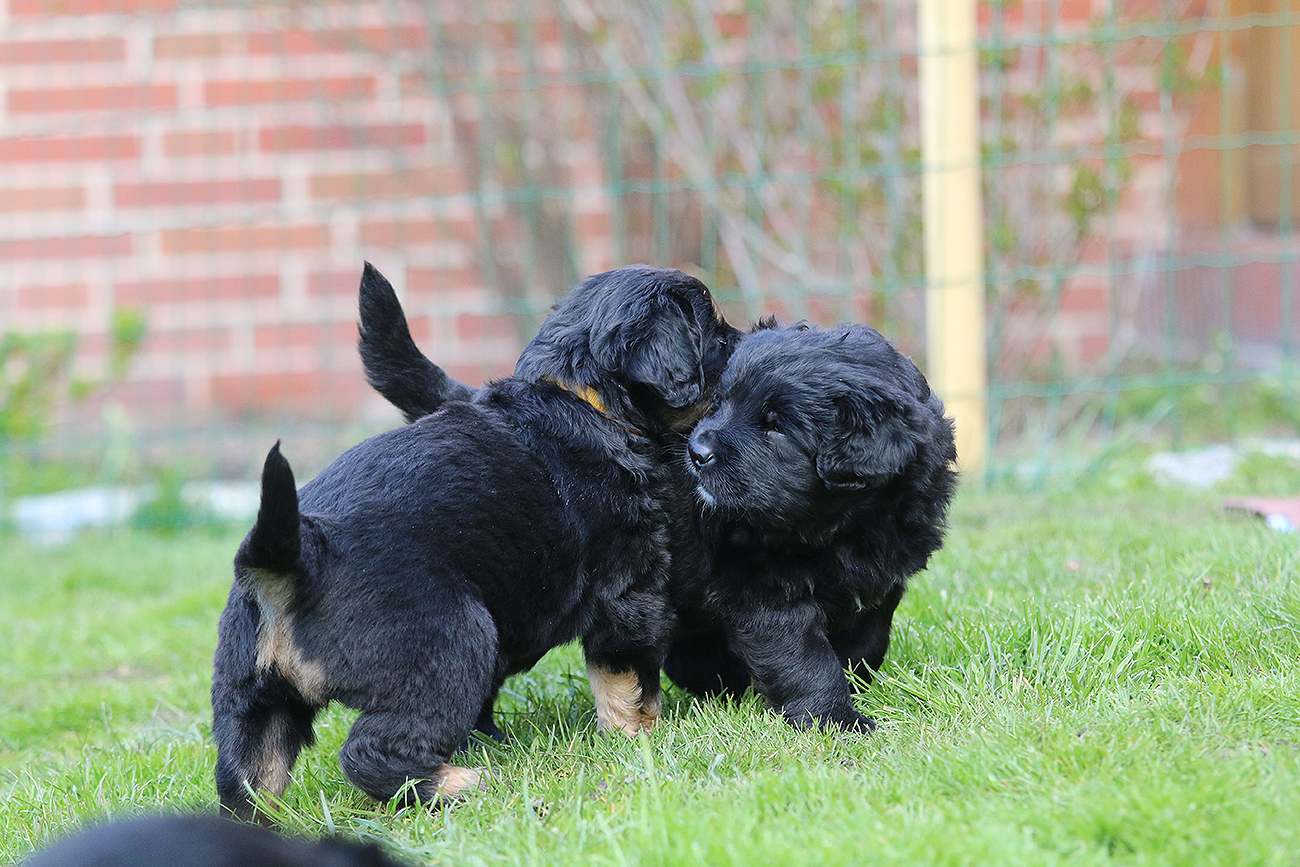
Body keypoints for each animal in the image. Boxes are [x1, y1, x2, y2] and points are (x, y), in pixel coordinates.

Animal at [211, 263, 733, 821]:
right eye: (716, 337)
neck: (581, 400)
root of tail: (299, 555)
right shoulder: (629, 590)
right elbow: (627, 678)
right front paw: (642, 738)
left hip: (248, 694)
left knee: (248, 777)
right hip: (450, 641)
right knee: (371, 752)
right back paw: (467, 784)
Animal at [664, 322, 957, 731]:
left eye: (776, 429)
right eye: (721, 403)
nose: (696, 451)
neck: (844, 528)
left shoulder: (883, 581)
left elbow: (866, 643)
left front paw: (856, 688)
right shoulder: (764, 591)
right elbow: (807, 662)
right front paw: (837, 720)